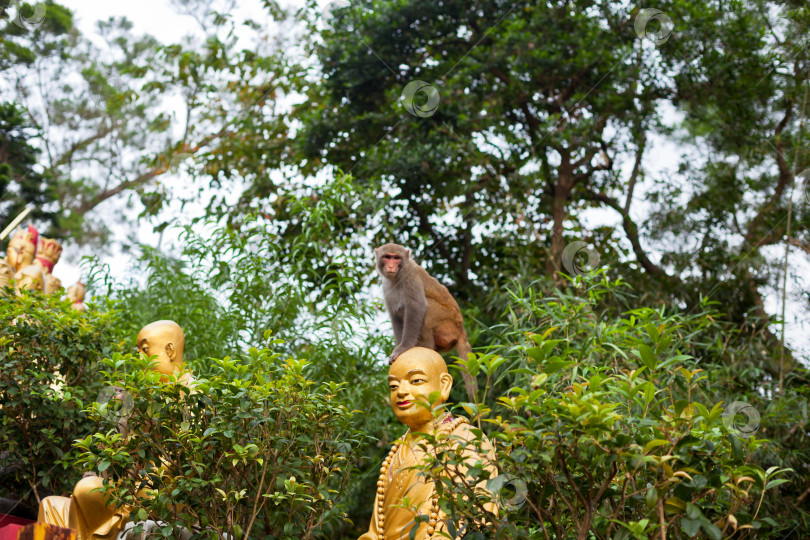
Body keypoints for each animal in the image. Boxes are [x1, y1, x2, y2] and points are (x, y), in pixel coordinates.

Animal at [374, 243, 476, 398]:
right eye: (387, 257)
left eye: (396, 258)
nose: (391, 266)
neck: (397, 277)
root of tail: (461, 330)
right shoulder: (386, 287)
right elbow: (395, 315)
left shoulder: (411, 280)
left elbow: (417, 308)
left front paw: (403, 348)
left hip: (448, 324)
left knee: (428, 310)